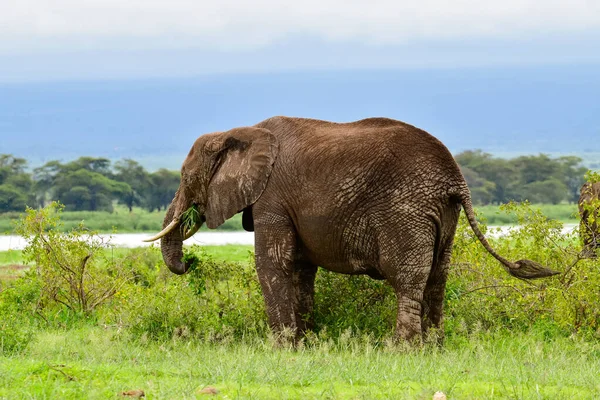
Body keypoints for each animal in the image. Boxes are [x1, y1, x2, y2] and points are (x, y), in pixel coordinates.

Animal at [144, 117, 556, 342]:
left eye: (186, 177)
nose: (190, 264)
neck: (242, 132)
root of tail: (456, 179)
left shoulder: (272, 196)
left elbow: (272, 263)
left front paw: (283, 348)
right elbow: (300, 269)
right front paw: (305, 344)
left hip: (406, 211)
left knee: (408, 277)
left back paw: (401, 350)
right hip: (443, 215)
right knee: (438, 276)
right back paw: (434, 348)